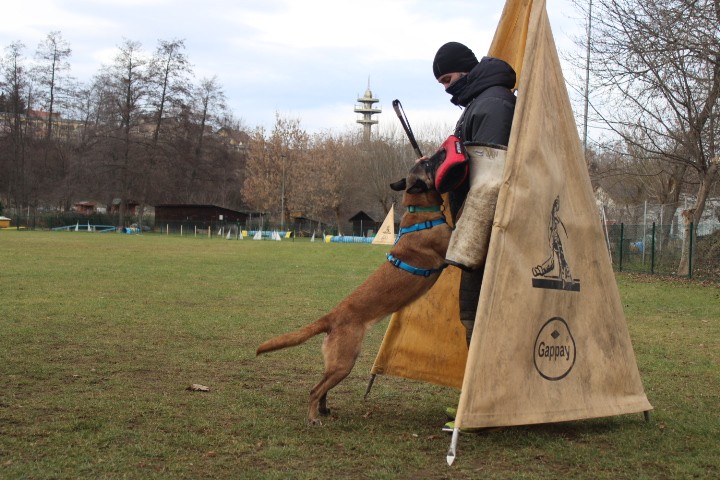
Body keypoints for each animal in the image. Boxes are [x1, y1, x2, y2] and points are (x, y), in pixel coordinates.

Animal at [258, 151, 450, 424]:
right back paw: (313, 417)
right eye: (427, 163)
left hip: (338, 364)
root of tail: (331, 316)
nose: (439, 152)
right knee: (315, 389)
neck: (419, 211)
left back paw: (324, 409)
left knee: (322, 388)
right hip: (345, 362)